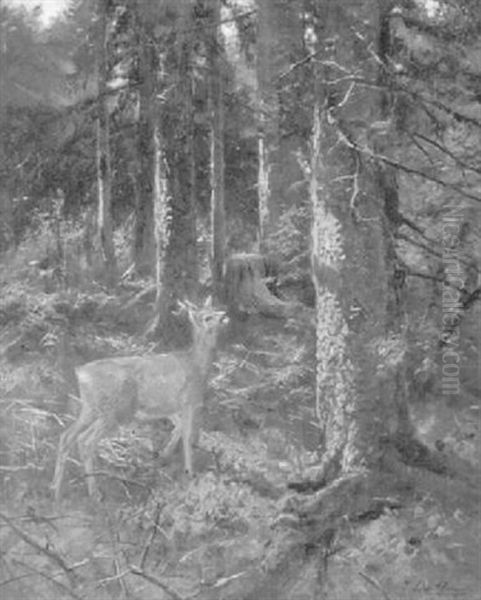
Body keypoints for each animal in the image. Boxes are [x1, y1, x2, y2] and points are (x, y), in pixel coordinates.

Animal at [51, 300, 228, 502]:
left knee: (67, 436)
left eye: (215, 310)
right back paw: (94, 493)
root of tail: (81, 373)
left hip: (90, 408)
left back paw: (56, 488)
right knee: (86, 441)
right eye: (207, 317)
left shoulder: (170, 408)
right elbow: (188, 436)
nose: (224, 316)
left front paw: (163, 455)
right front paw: (189, 472)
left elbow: (178, 428)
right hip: (115, 412)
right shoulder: (187, 401)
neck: (197, 366)